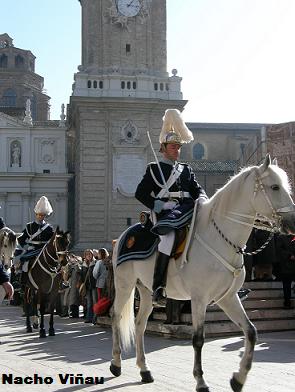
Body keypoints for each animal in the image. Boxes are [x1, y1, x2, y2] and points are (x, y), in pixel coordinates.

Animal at [110, 155, 295, 390]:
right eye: (275, 187)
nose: (293, 222)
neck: (220, 237)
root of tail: (125, 234)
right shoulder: (199, 298)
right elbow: (198, 339)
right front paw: (200, 381)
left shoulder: (228, 297)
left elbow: (251, 332)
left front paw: (238, 378)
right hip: (124, 284)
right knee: (116, 317)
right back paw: (116, 364)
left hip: (145, 290)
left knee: (140, 324)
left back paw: (144, 370)